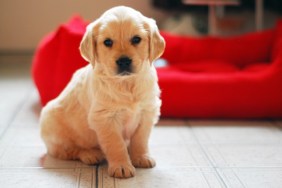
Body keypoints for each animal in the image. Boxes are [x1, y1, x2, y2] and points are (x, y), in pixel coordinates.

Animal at [39, 6, 165, 178]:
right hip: (53, 125)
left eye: (136, 39)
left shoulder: (147, 112)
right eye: (107, 42)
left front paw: (141, 157)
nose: (124, 61)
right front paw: (121, 166)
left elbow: (140, 139)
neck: (126, 83)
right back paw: (90, 154)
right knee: (69, 150)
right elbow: (116, 144)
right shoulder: (105, 118)